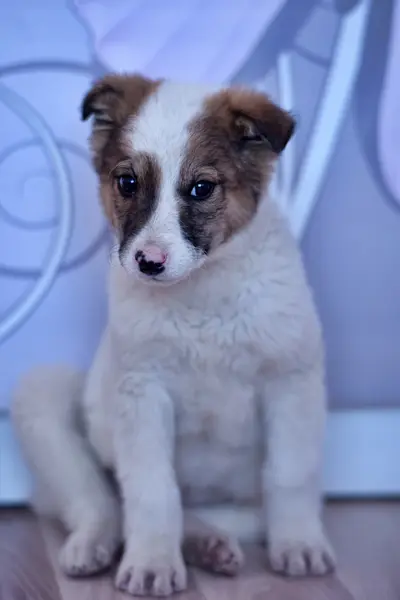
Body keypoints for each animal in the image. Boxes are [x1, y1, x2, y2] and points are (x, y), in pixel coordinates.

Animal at [12, 76, 334, 600]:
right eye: (127, 182)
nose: (148, 263)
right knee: (101, 502)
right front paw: (151, 563)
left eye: (202, 188)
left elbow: (291, 473)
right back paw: (94, 545)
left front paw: (300, 545)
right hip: (45, 393)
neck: (202, 291)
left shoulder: (291, 381)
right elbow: (152, 490)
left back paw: (209, 542)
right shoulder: (142, 394)